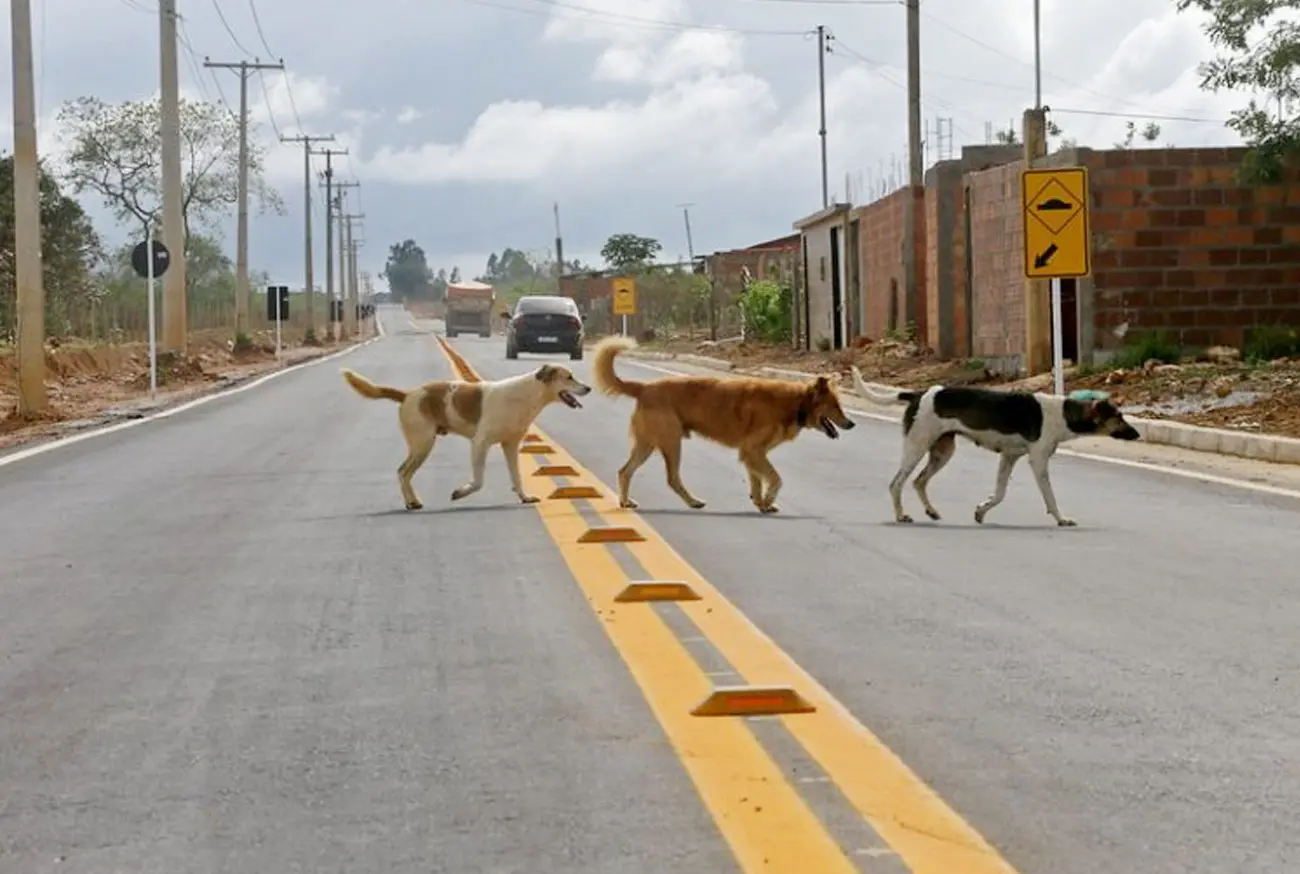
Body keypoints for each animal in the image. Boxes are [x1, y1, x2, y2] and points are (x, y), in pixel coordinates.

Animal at [343, 364, 592, 512]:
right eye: (568, 377)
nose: (589, 388)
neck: (527, 395)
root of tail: (408, 394)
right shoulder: (480, 443)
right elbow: (479, 481)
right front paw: (461, 492)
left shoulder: (511, 445)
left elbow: (517, 476)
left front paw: (524, 497)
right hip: (423, 443)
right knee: (402, 472)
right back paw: (412, 502)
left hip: (422, 445)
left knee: (404, 472)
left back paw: (411, 501)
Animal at [595, 335, 857, 512]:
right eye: (835, 406)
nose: (852, 424)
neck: (796, 402)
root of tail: (643, 388)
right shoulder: (753, 450)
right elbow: (775, 478)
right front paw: (768, 500)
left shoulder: (752, 454)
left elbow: (757, 481)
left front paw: (761, 503)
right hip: (671, 442)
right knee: (671, 478)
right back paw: (693, 501)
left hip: (647, 444)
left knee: (625, 471)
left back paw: (626, 501)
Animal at [852, 364, 1138, 525]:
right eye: (1119, 417)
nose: (1136, 434)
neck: (1064, 414)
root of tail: (919, 393)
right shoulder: (1038, 461)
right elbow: (1050, 496)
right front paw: (1061, 519)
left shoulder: (1009, 457)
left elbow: (1000, 493)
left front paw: (982, 511)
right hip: (916, 446)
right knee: (897, 483)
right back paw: (901, 516)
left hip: (942, 451)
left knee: (919, 481)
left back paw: (931, 512)